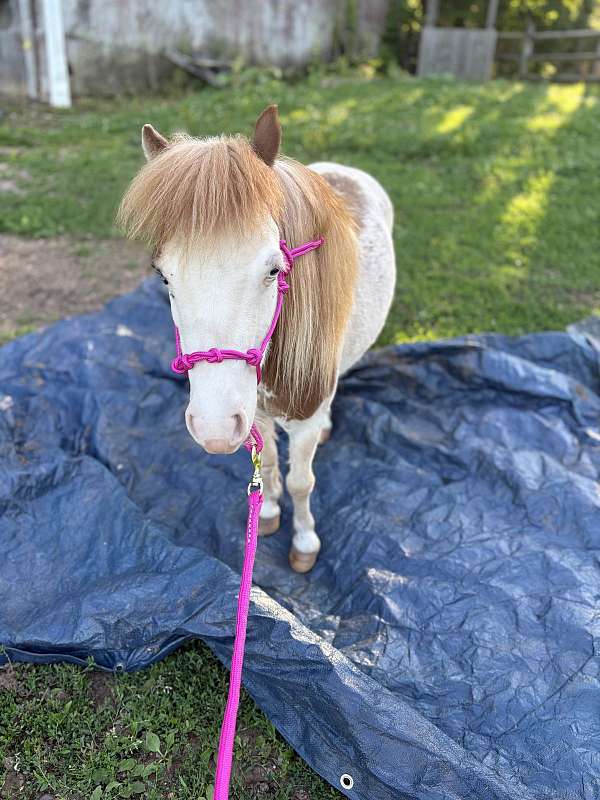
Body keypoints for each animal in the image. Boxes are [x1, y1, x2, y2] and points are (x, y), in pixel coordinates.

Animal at [118, 105, 395, 572]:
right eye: (163, 276)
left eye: (274, 269)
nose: (212, 427)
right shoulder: (254, 414)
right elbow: (265, 466)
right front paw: (265, 514)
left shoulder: (302, 421)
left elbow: (302, 481)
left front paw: (304, 539)